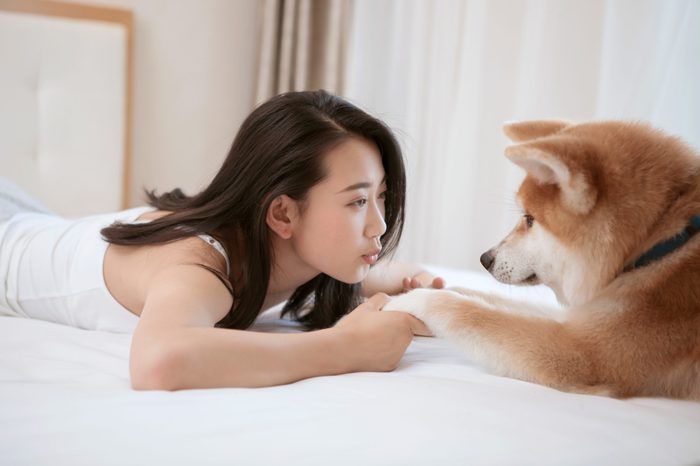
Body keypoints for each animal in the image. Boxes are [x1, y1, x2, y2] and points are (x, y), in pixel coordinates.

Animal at [386, 121, 700, 400]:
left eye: (529, 219)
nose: (484, 259)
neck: (657, 244)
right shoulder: (584, 315)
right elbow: (480, 298)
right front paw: (423, 287)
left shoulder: (583, 353)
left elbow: (468, 312)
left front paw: (409, 299)